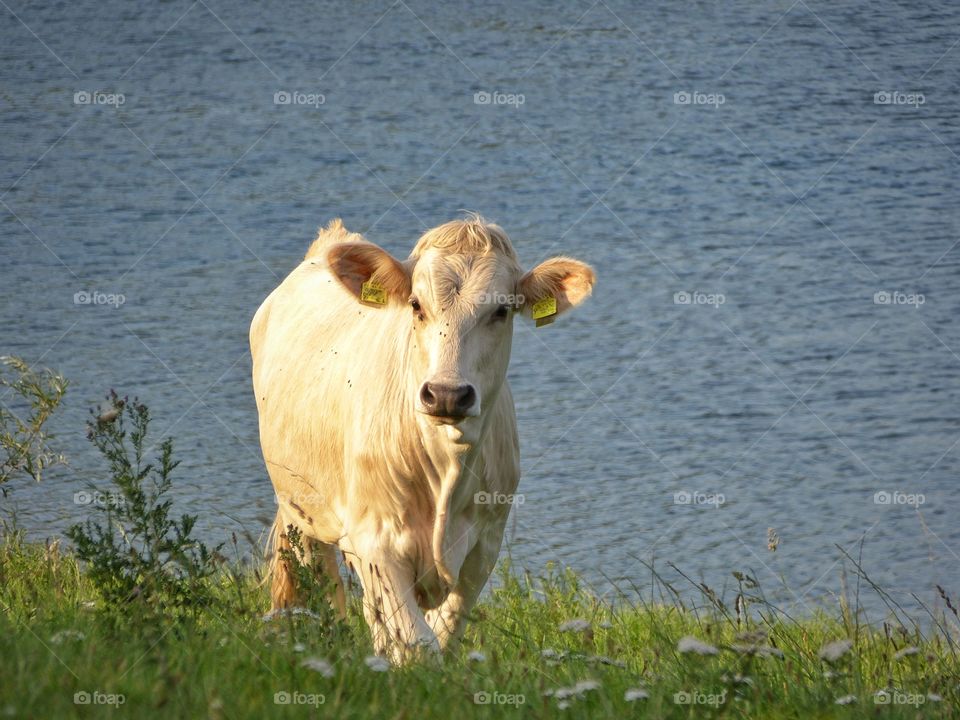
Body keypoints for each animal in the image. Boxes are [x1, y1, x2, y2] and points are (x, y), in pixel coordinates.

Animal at [250, 215, 595, 663]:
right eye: (416, 305)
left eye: (502, 310)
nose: (447, 393)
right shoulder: (376, 543)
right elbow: (418, 643)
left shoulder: (483, 549)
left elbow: (441, 635)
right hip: (301, 509)